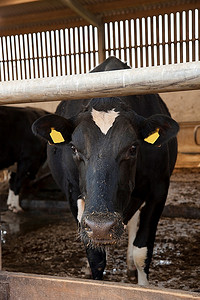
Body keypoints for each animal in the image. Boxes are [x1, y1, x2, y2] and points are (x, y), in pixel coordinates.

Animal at [32, 56, 179, 286]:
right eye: (73, 148)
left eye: (133, 148)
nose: (102, 225)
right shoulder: (73, 193)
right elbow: (95, 256)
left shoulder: (159, 188)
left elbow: (142, 251)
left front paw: (143, 285)